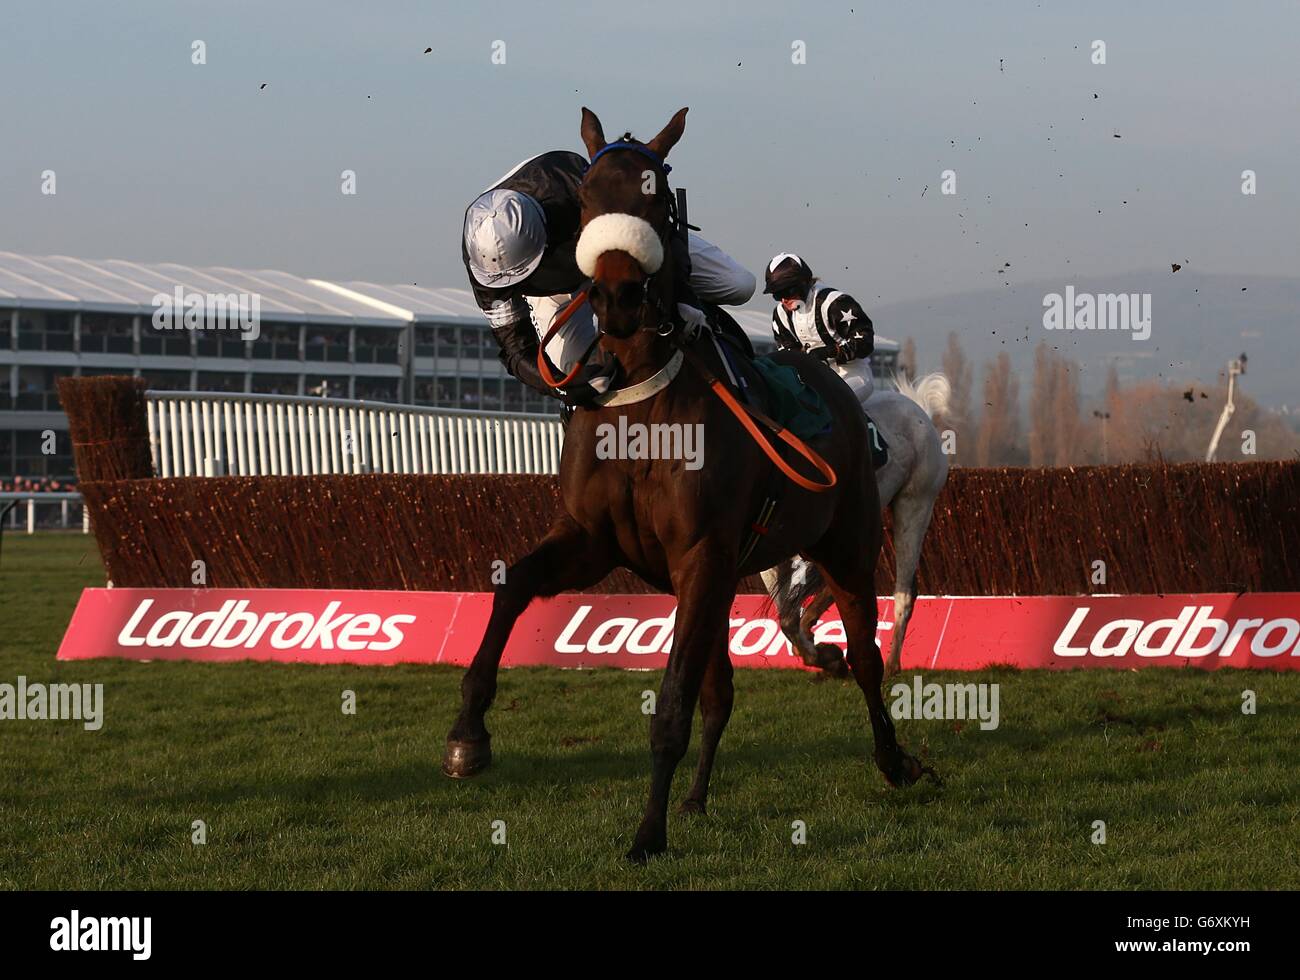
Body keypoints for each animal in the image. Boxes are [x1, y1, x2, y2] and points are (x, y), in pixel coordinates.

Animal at [441, 103, 930, 857]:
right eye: (590, 199)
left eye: (657, 197)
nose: (616, 297)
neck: (642, 403)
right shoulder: (596, 541)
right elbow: (515, 583)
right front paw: (469, 735)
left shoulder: (700, 553)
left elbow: (672, 700)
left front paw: (648, 833)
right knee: (723, 688)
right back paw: (699, 797)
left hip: (848, 541)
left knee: (867, 655)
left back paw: (890, 756)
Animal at [759, 371, 951, 681]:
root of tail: (918, 408)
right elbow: (786, 616)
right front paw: (825, 656)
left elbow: (789, 616)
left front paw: (828, 656)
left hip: (916, 504)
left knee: (903, 590)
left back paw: (892, 663)